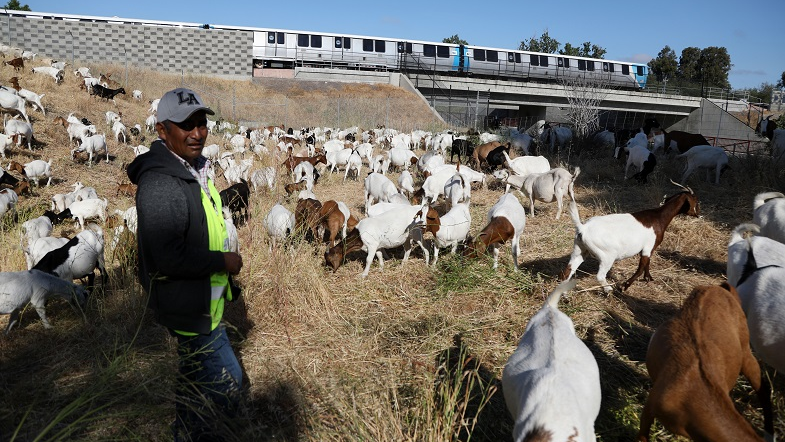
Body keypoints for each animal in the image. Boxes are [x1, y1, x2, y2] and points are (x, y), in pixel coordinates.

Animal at [561, 183, 699, 292]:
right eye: (695, 201)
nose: (698, 214)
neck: (659, 217)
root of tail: (583, 228)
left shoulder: (650, 248)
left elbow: (647, 264)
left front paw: (648, 278)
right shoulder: (648, 247)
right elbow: (641, 267)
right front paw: (625, 286)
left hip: (580, 250)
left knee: (568, 270)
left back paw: (565, 294)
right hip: (607, 255)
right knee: (600, 276)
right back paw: (608, 290)